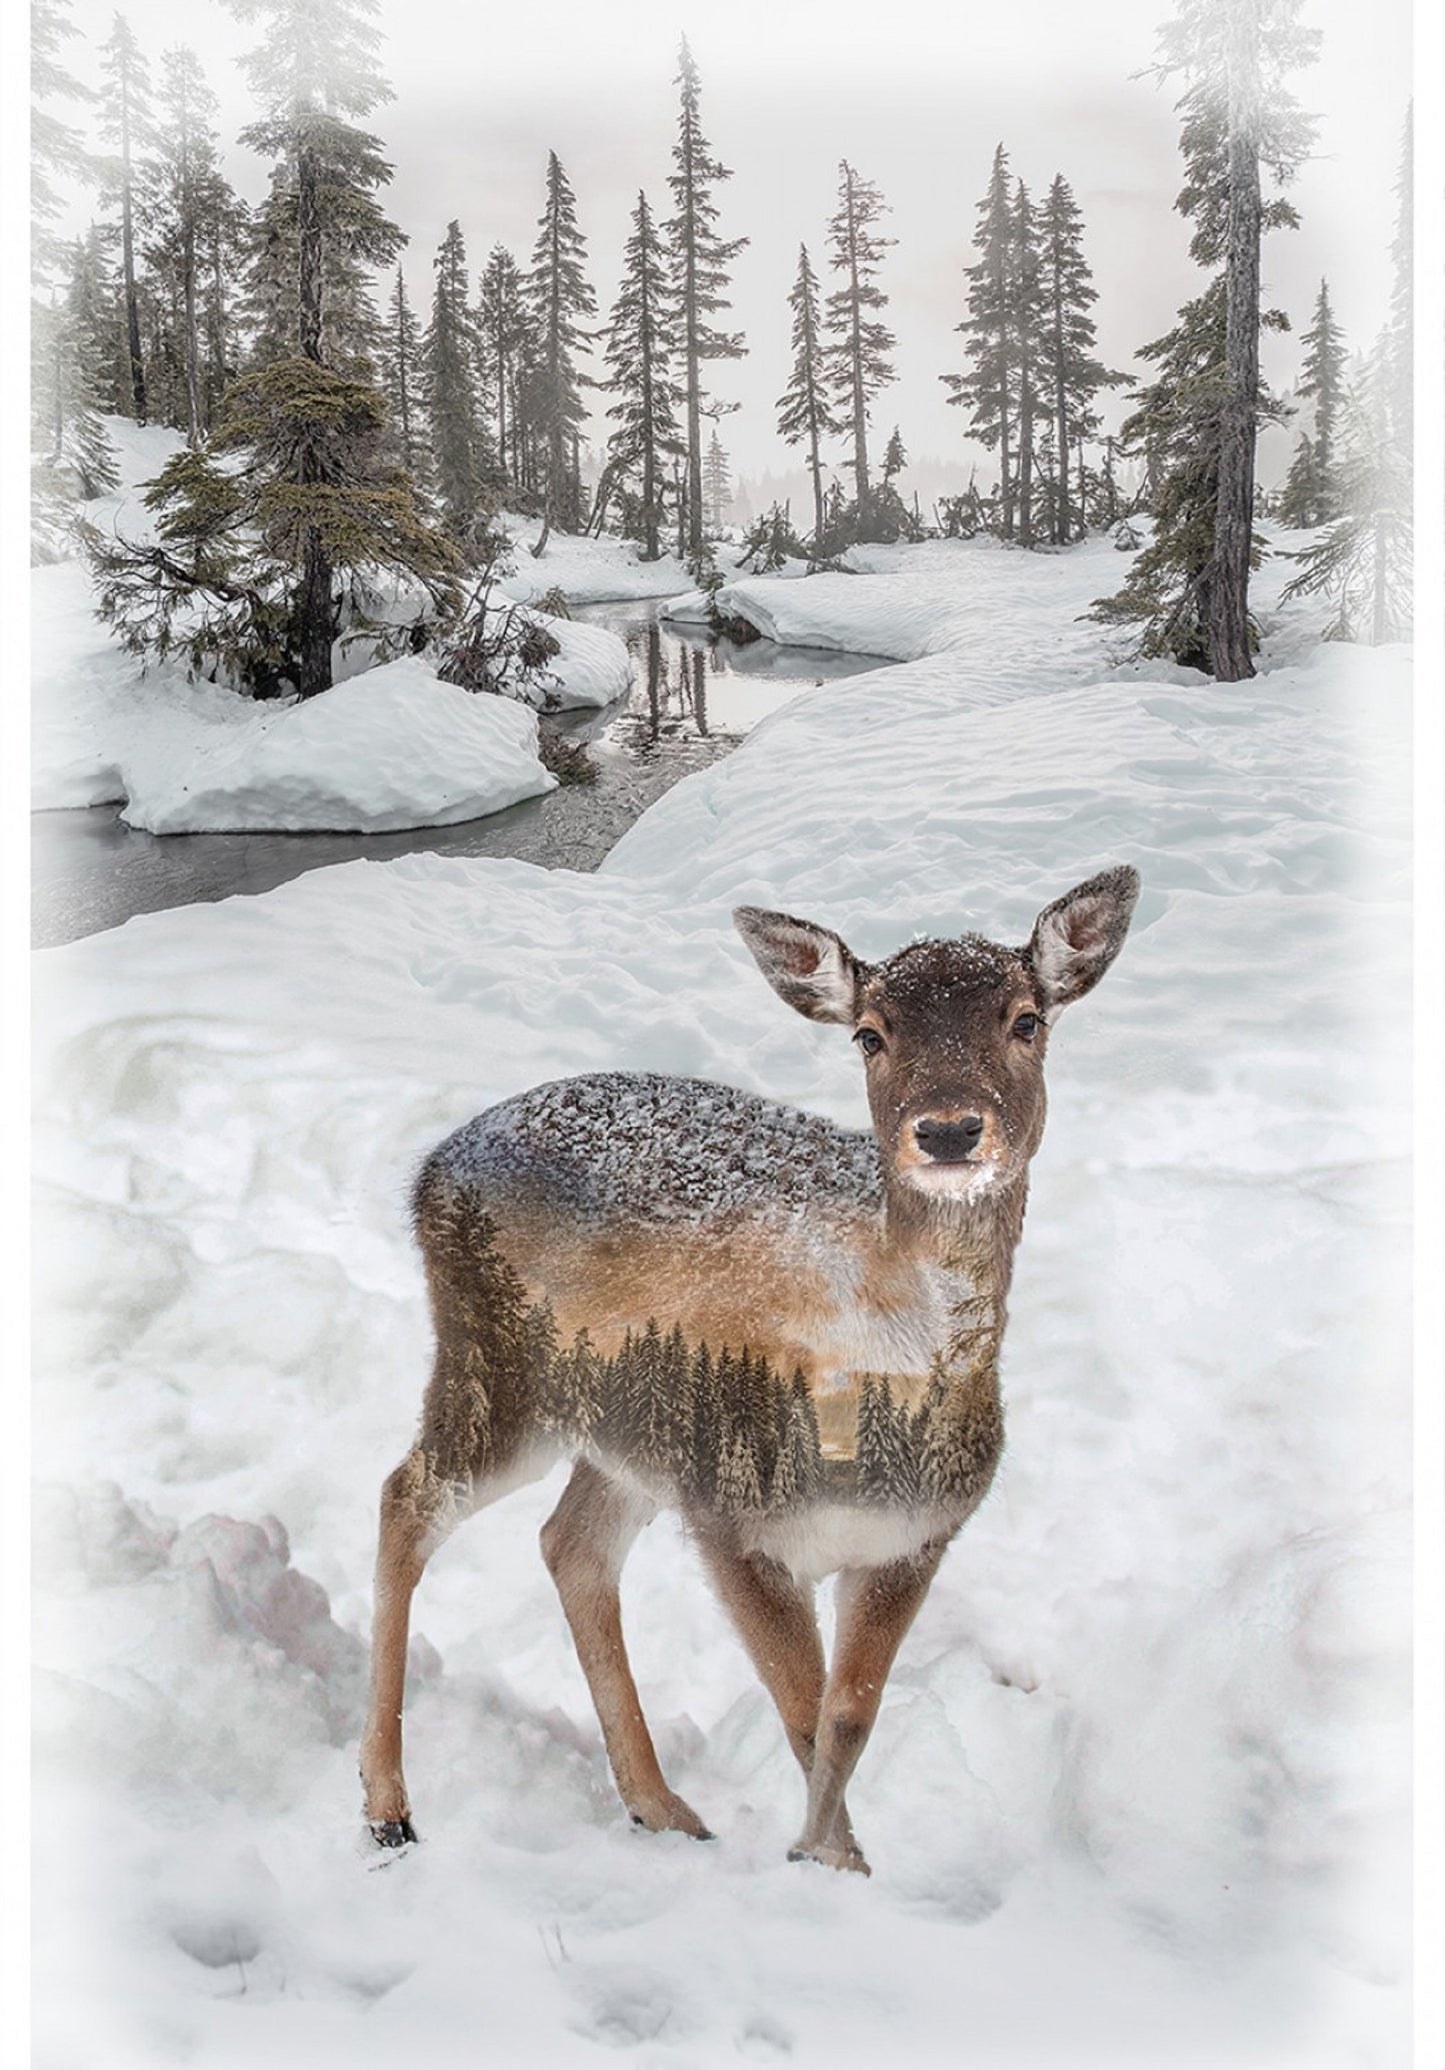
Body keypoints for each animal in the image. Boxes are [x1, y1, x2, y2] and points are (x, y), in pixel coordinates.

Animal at [359, 865, 1140, 1874]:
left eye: (1025, 1018)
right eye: (869, 1033)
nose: (949, 1131)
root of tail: (430, 1170)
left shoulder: (917, 1536)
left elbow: (849, 1719)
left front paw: (833, 1861)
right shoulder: (735, 1518)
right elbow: (805, 1717)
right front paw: (827, 1866)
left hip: (633, 1426)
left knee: (569, 1545)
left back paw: (660, 1807)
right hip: (502, 1367)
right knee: (406, 1495)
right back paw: (388, 1807)